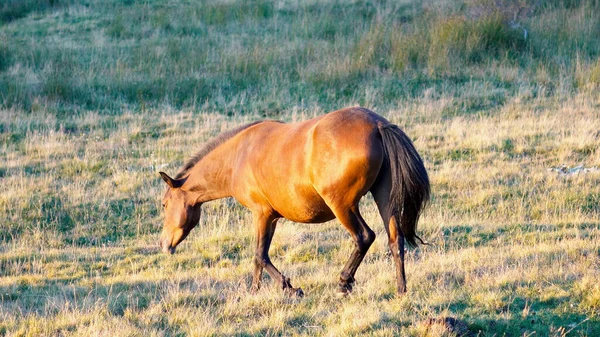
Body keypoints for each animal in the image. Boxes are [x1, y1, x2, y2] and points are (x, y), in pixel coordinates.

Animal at [158, 106, 432, 296]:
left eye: (164, 204)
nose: (163, 244)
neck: (238, 157)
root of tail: (377, 125)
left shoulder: (261, 214)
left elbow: (260, 255)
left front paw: (288, 288)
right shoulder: (271, 218)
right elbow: (259, 256)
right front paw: (255, 291)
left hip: (343, 206)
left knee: (364, 237)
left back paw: (344, 283)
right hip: (384, 199)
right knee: (395, 240)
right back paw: (401, 290)